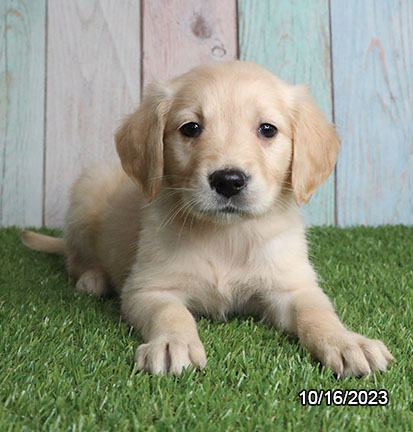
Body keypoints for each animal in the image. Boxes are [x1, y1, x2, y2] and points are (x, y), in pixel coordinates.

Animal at [21, 60, 392, 374]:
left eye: (267, 129)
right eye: (191, 128)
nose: (228, 180)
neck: (226, 235)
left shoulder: (292, 286)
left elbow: (318, 313)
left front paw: (346, 342)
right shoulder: (149, 288)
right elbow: (172, 312)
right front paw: (173, 343)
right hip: (86, 191)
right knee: (74, 259)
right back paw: (93, 279)